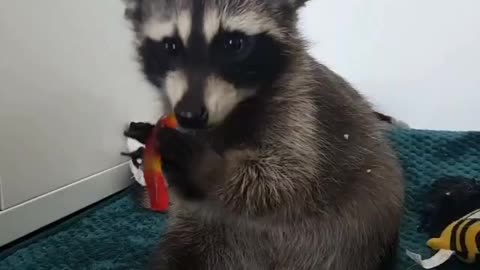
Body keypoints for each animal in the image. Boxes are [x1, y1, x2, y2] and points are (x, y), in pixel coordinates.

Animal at [122, 1, 404, 268]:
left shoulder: (301, 109)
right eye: (170, 46)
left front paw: (210, 167)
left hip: (348, 236)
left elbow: (287, 176)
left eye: (233, 44)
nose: (189, 114)